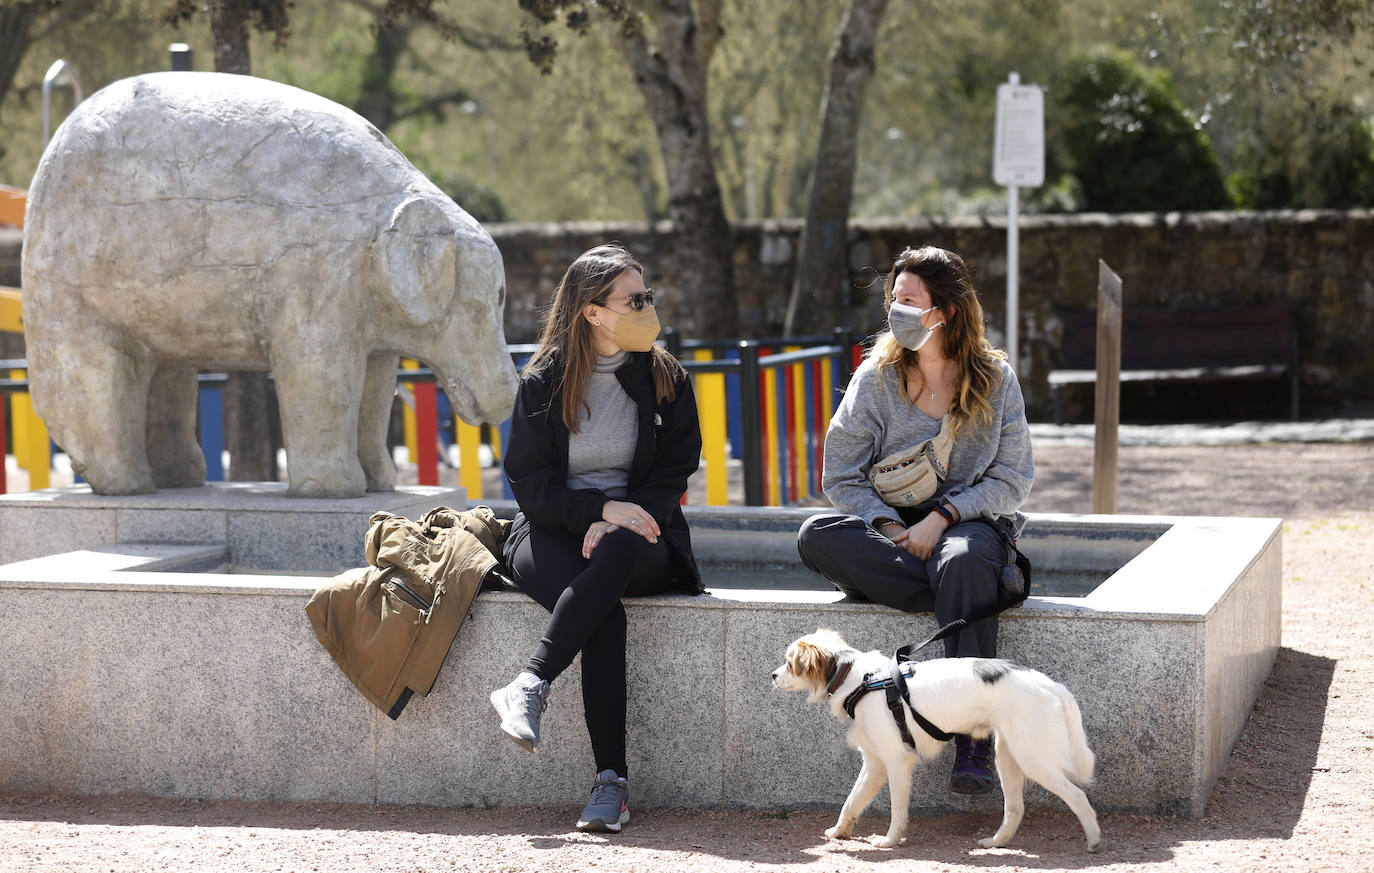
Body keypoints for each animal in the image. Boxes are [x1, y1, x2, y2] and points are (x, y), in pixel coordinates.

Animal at [774, 632, 1104, 852]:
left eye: (790, 663)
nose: (772, 675)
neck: (857, 678)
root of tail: (1052, 684)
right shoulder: (875, 762)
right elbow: (851, 801)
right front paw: (838, 831)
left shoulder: (896, 760)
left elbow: (896, 808)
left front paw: (890, 840)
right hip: (1008, 756)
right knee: (1014, 809)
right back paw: (995, 842)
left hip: (1032, 758)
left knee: (1078, 797)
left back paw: (1093, 841)